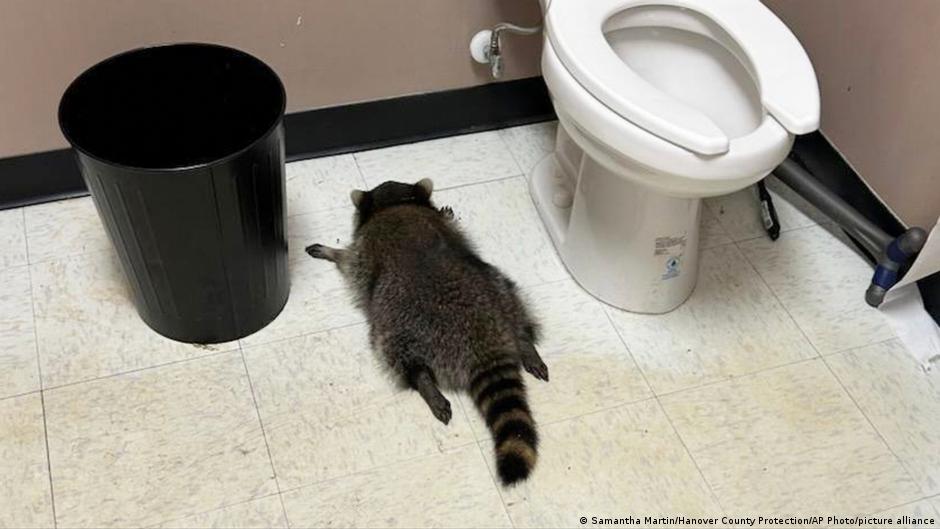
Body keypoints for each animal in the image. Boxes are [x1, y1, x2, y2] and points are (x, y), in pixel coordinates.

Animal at [305, 178, 548, 485]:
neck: (396, 203)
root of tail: (483, 340)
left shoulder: (363, 251)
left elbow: (348, 260)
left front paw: (331, 252)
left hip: (399, 323)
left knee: (396, 353)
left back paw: (423, 382)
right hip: (499, 288)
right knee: (515, 305)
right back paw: (525, 342)